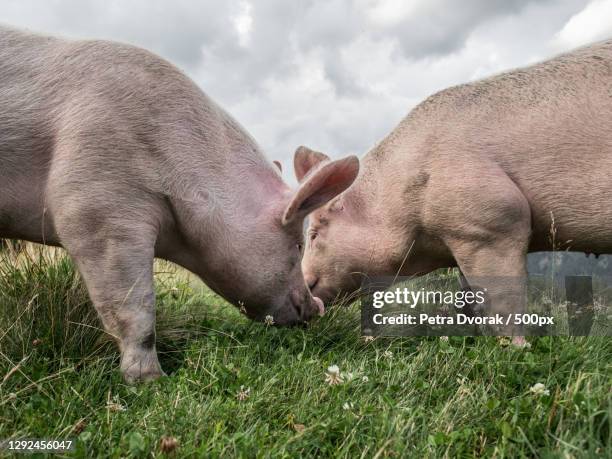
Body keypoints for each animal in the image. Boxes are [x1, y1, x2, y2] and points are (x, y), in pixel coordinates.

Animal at [298, 39, 612, 344]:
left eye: (314, 234)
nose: (303, 287)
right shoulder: (462, 235)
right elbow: (469, 298)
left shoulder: (493, 222)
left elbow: (502, 297)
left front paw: (515, 347)